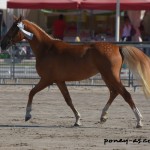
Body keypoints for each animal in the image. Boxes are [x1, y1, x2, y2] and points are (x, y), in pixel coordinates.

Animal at [0, 16, 150, 127]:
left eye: (14, 28)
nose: (3, 44)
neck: (46, 49)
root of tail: (117, 47)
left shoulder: (46, 79)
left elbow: (31, 92)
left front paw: (28, 114)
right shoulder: (59, 81)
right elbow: (68, 100)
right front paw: (77, 120)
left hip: (111, 76)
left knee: (126, 94)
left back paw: (139, 121)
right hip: (106, 76)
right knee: (114, 92)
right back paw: (103, 116)